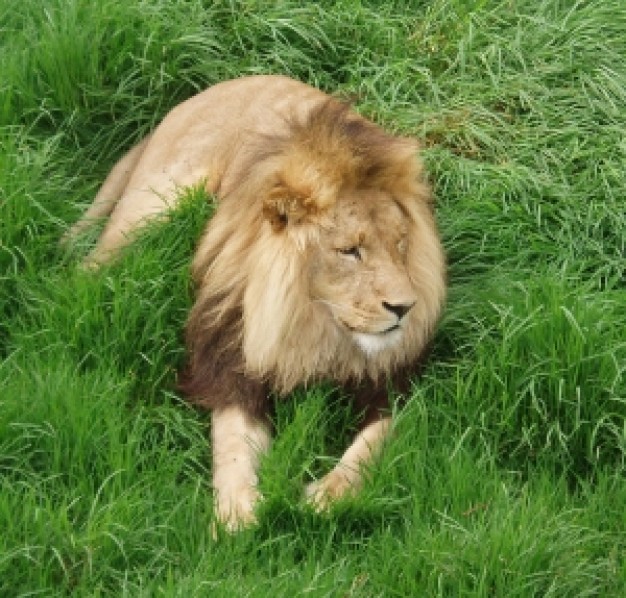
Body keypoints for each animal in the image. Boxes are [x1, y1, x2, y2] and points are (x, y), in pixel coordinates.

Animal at [68, 74, 446, 528]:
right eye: (350, 251)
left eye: (401, 243)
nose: (404, 308)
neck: (313, 323)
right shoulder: (230, 356)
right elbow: (233, 440)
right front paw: (237, 512)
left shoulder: (398, 382)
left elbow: (374, 441)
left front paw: (325, 497)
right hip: (153, 207)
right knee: (88, 268)